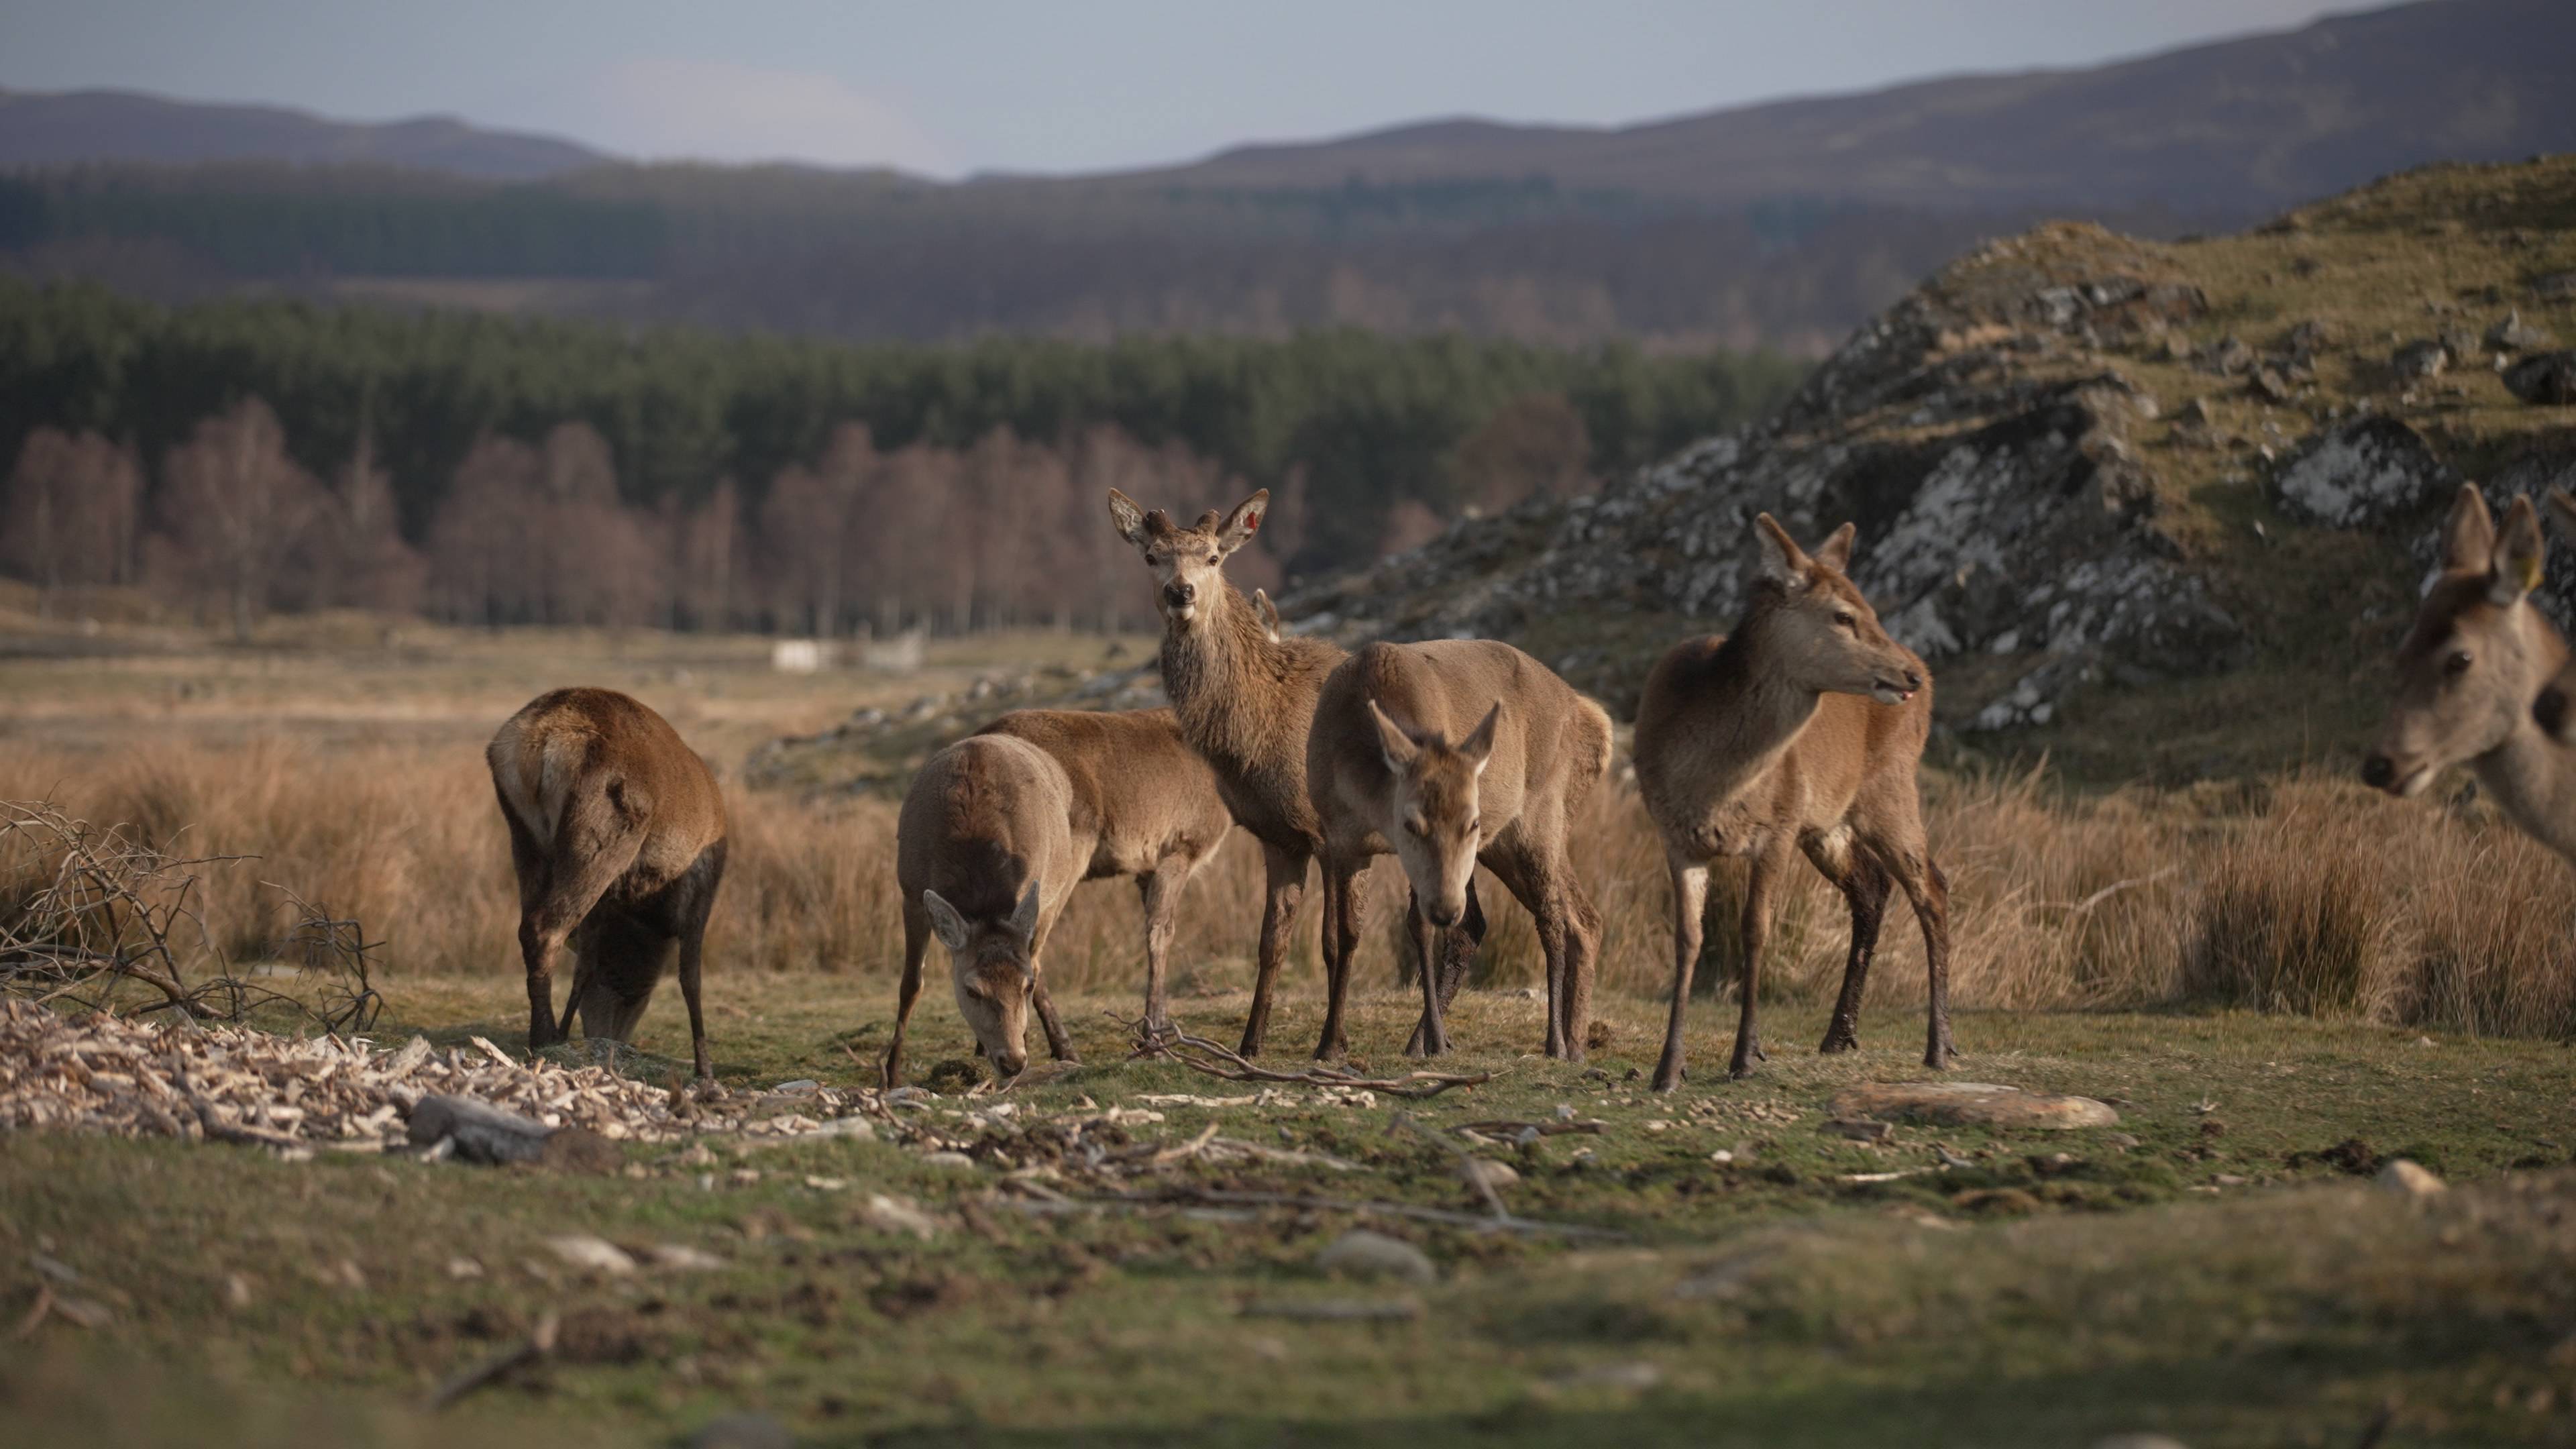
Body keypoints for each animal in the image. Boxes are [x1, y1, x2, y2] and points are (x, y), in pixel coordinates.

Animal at [488, 687, 728, 1079]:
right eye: (637, 994)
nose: (612, 1037)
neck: (642, 909)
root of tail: (544, 736)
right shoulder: (704, 880)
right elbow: (691, 976)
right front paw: (704, 1068)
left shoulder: (607, 903)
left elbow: (583, 966)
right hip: (602, 835)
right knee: (545, 928)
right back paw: (544, 1039)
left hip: (525, 838)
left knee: (529, 926)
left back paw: (550, 1035)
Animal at [884, 708, 1233, 1086]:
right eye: (971, 990)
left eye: (1025, 987)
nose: (1012, 1062)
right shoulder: (1182, 847)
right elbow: (910, 983)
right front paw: (890, 1074)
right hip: (1076, 858)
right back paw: (1060, 1048)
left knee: (1038, 955)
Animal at [1105, 488, 1485, 1057]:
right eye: (1151, 556)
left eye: (1213, 557)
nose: (1180, 592)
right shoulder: (1278, 837)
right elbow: (1271, 943)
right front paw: (1250, 1043)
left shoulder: (1329, 833)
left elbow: (1332, 940)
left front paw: (1334, 1041)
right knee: (1466, 922)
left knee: (1456, 922)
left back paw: (1426, 1040)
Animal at [1306, 640, 1612, 1060]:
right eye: (1411, 823)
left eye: (1473, 821)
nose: (1446, 909)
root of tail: (1595, 721)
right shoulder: (1339, 839)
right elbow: (1346, 934)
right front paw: (1330, 1043)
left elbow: (1418, 927)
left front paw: (1436, 1040)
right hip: (1501, 848)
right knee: (1571, 919)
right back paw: (1576, 1042)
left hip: (1540, 820)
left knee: (1550, 920)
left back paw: (1557, 1044)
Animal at [1631, 514, 1951, 1090]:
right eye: (1844, 614)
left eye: (1871, 608)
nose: (1909, 676)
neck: (1713, 784)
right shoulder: (1674, 835)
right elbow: (1688, 940)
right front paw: (1668, 1068)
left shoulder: (1777, 827)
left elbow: (1756, 930)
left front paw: (1744, 1056)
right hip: (1827, 824)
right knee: (1873, 887)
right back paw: (1839, 1035)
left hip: (1888, 790)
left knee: (1932, 887)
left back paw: (1939, 1047)